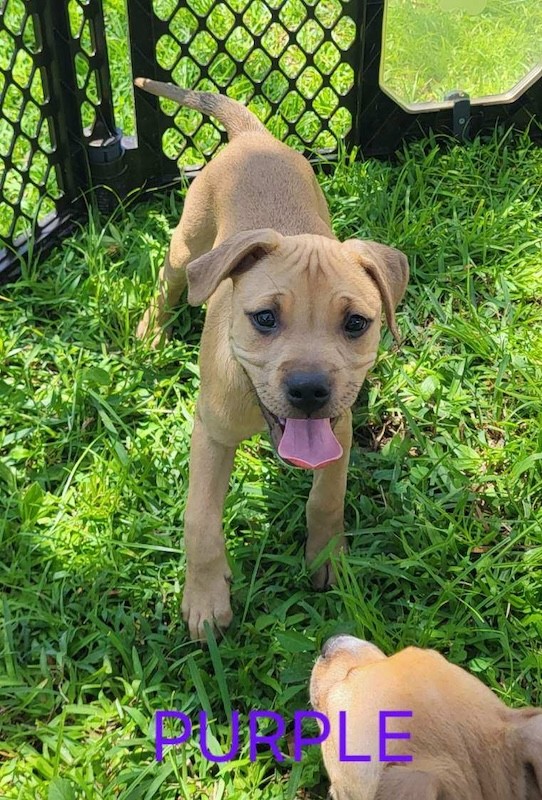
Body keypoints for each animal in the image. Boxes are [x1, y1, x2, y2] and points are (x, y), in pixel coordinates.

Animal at [135, 79, 409, 640]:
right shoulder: (211, 434)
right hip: (186, 244)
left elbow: (326, 500)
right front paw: (205, 598)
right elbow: (199, 521)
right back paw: (150, 333)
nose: (308, 389)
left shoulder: (338, 432)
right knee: (168, 284)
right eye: (264, 318)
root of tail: (252, 137)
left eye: (356, 324)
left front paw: (327, 558)